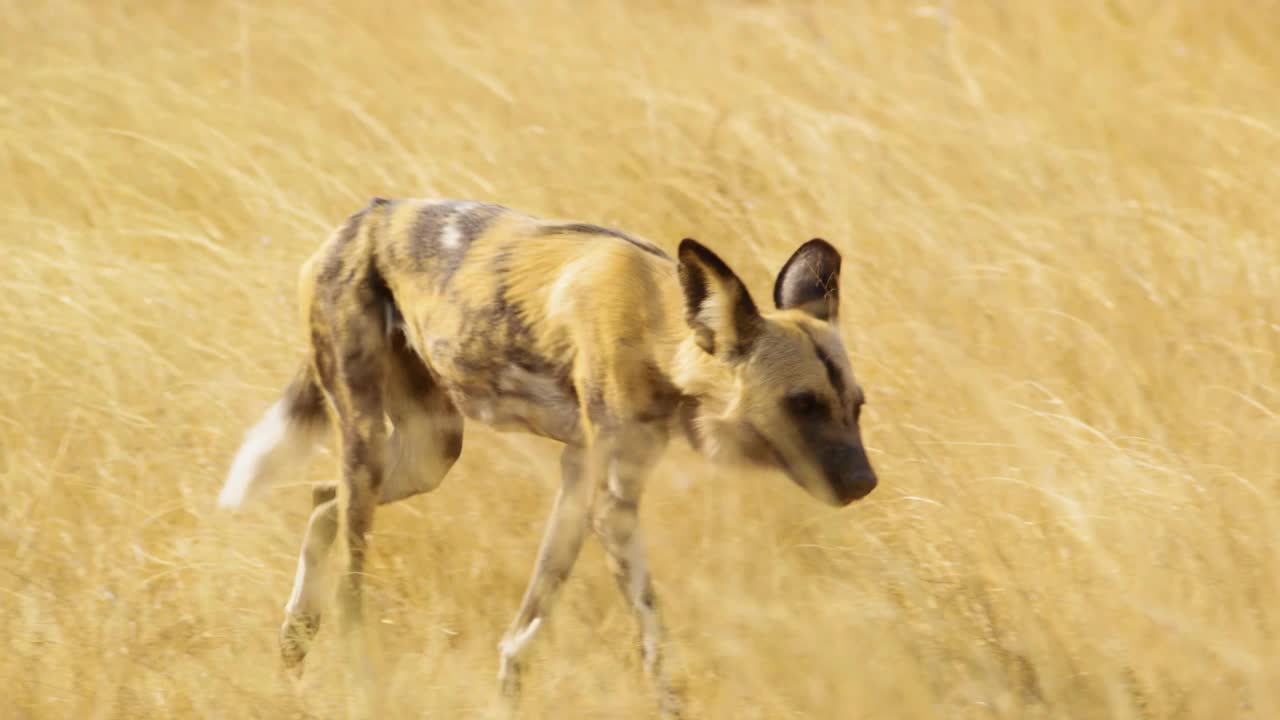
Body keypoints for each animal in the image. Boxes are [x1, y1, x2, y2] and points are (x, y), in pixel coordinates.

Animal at [220, 196, 880, 712]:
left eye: (856, 405)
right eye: (801, 404)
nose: (865, 483)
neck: (660, 330)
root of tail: (362, 218)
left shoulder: (582, 481)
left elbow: (524, 631)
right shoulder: (613, 506)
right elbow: (656, 643)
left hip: (429, 450)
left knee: (322, 498)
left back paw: (294, 641)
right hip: (366, 435)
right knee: (350, 587)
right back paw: (359, 684)